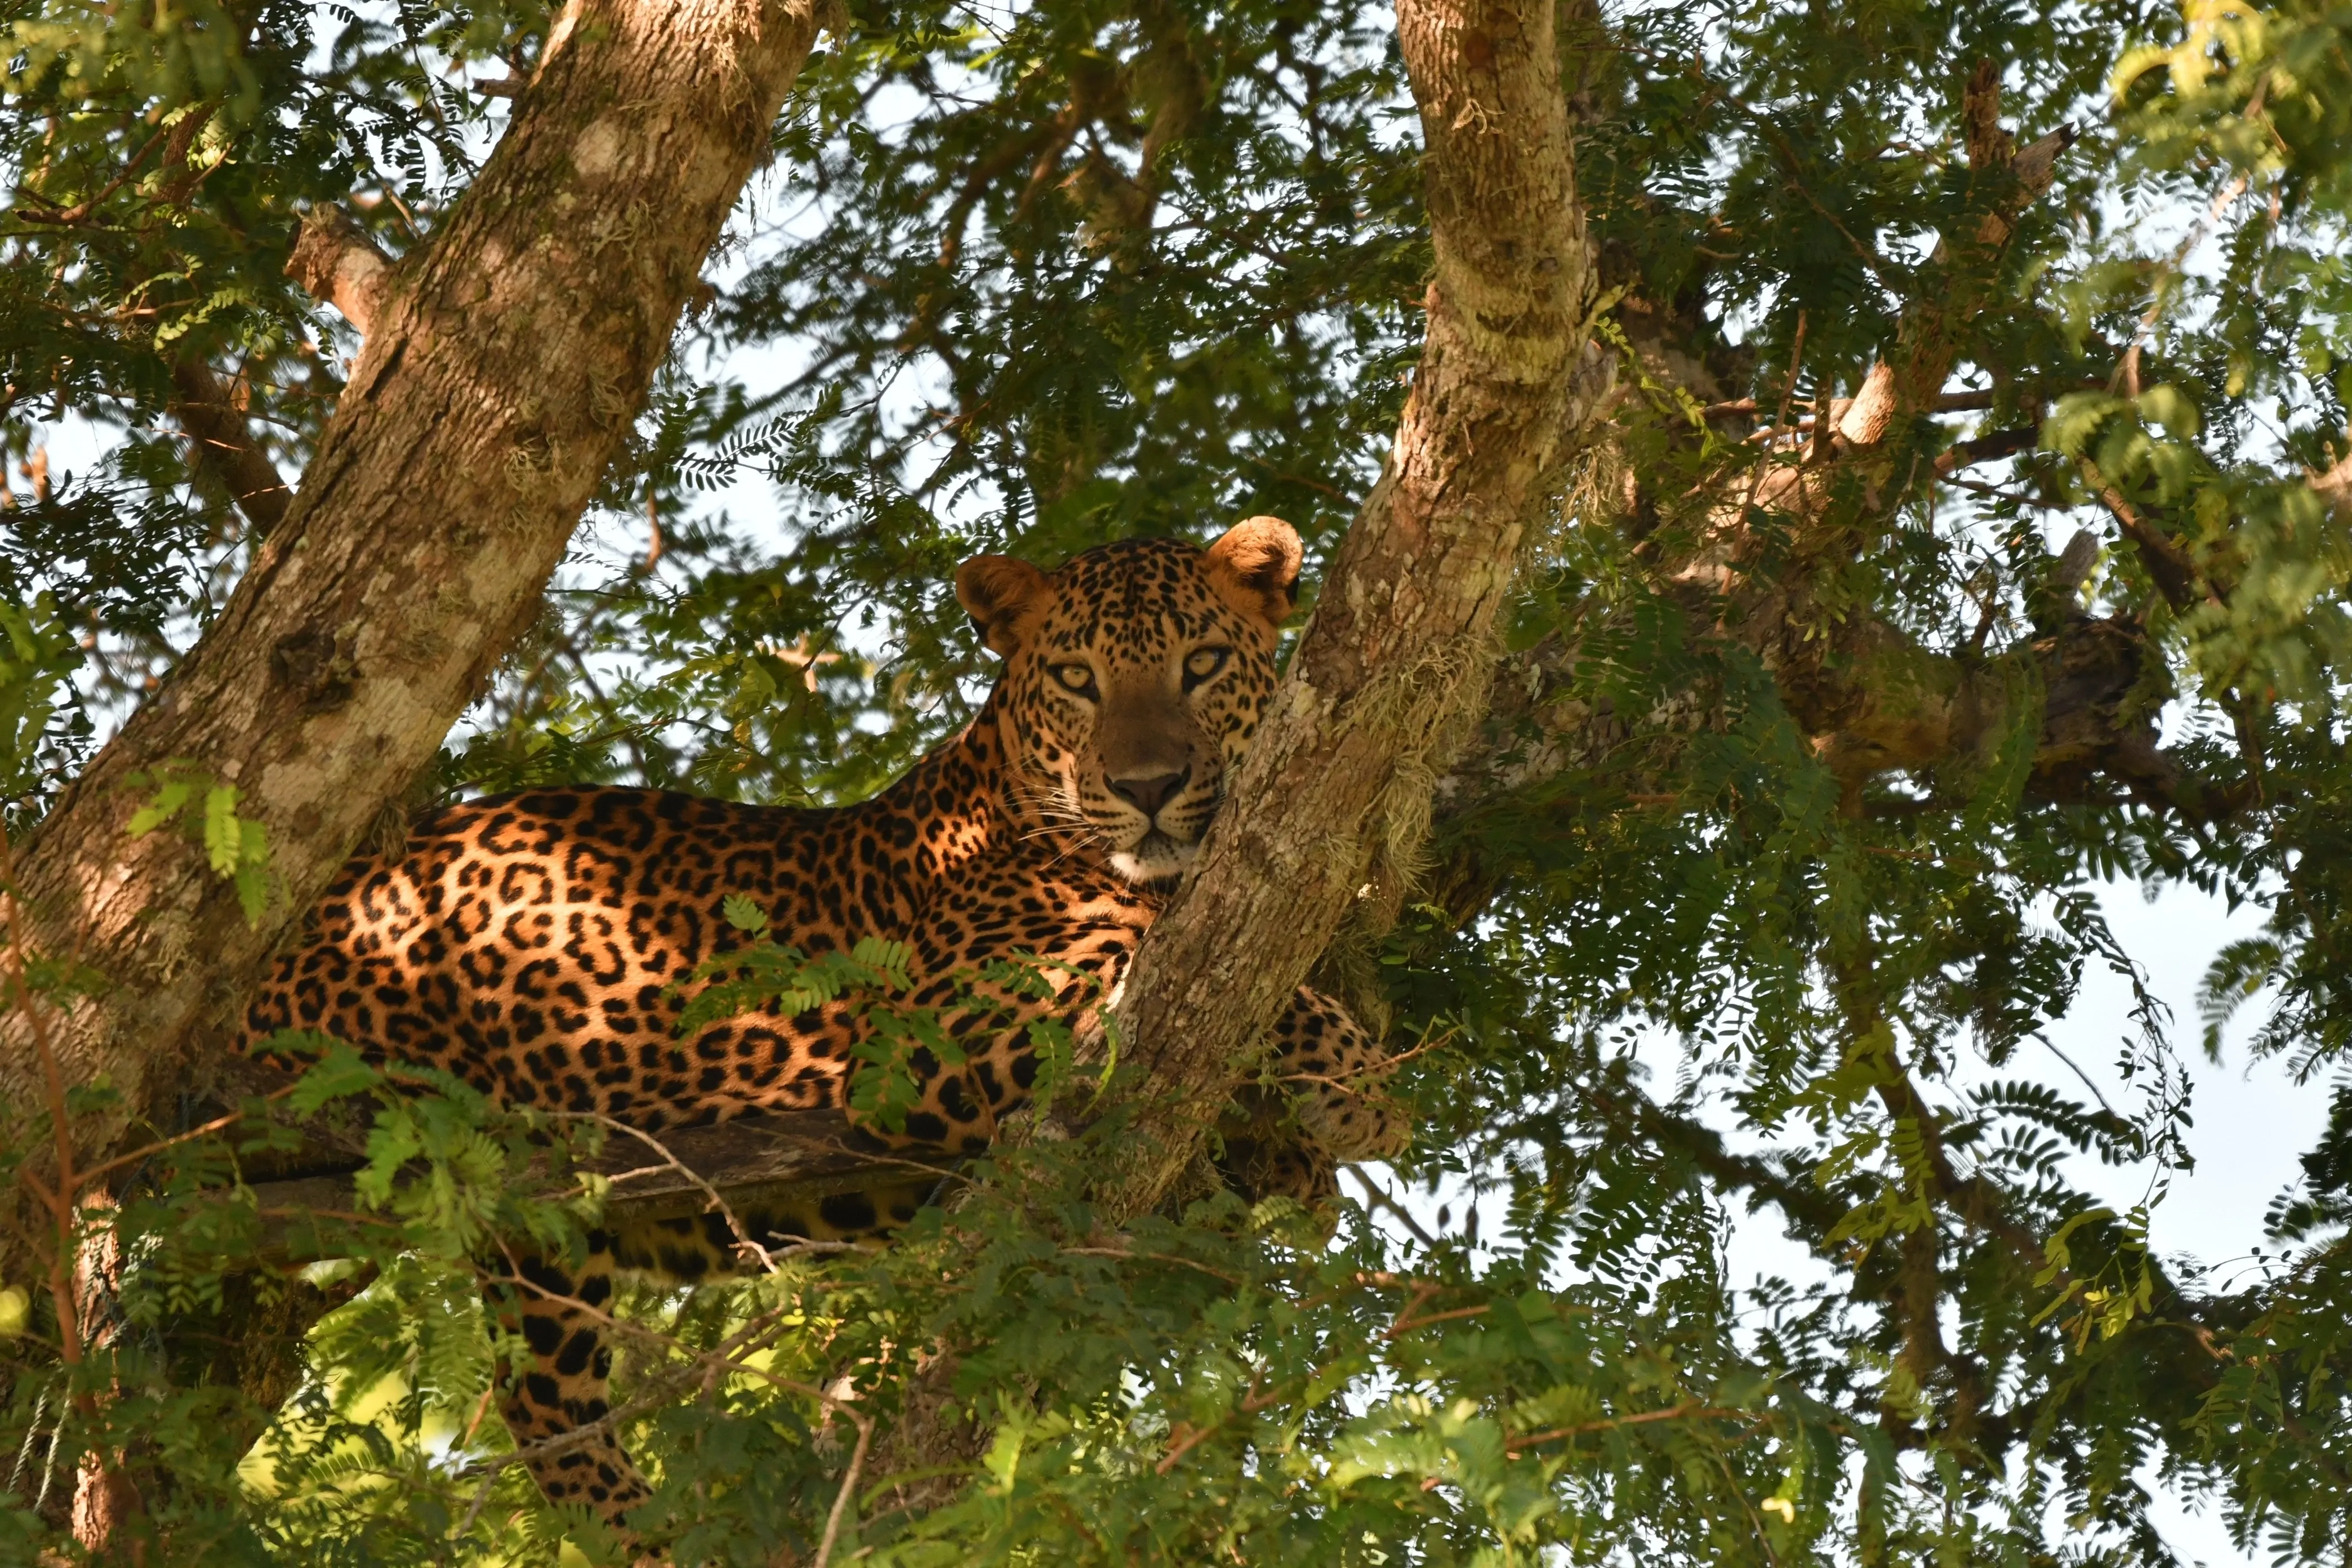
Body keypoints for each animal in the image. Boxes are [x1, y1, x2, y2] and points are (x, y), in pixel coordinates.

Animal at [241, 516, 1408, 1536]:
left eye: (1202, 663)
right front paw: (1363, 1089)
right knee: (550, 1418)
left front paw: (1302, 1163)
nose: (1151, 785)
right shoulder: (933, 1036)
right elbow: (1159, 970)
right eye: (1079, 679)